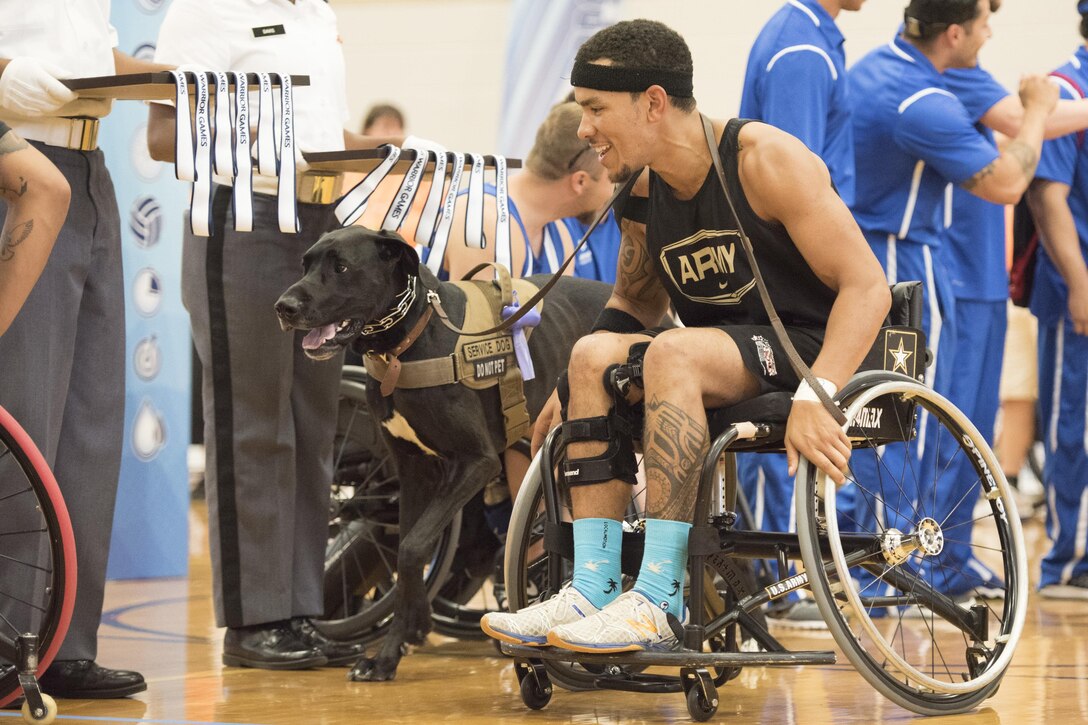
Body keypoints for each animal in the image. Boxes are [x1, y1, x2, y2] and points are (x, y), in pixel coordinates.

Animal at [272, 224, 613, 679]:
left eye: (341, 267)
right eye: (305, 264)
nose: (283, 307)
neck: (408, 341)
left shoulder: (475, 463)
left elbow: (414, 546)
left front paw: (414, 626)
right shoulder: (412, 470)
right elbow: (406, 549)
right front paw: (391, 650)